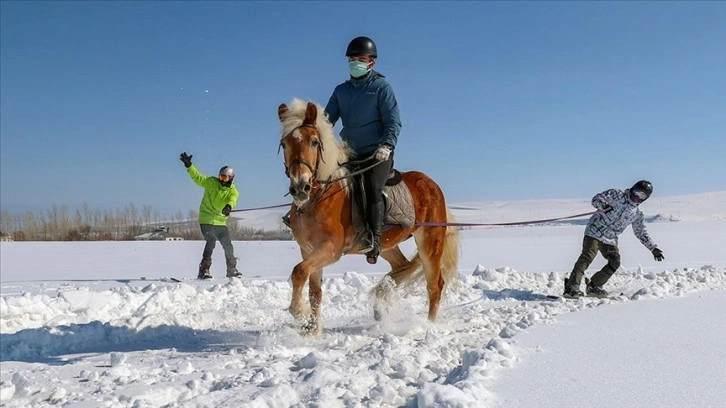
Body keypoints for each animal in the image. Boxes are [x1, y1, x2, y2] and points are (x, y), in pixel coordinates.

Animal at [278, 99, 460, 334]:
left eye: (314, 142)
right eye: (284, 144)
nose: (300, 187)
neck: (319, 197)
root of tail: (433, 185)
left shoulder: (331, 249)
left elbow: (299, 272)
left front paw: (299, 313)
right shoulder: (308, 250)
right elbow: (314, 292)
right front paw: (311, 332)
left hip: (430, 243)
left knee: (434, 285)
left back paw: (428, 325)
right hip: (388, 245)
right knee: (401, 267)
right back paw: (381, 305)